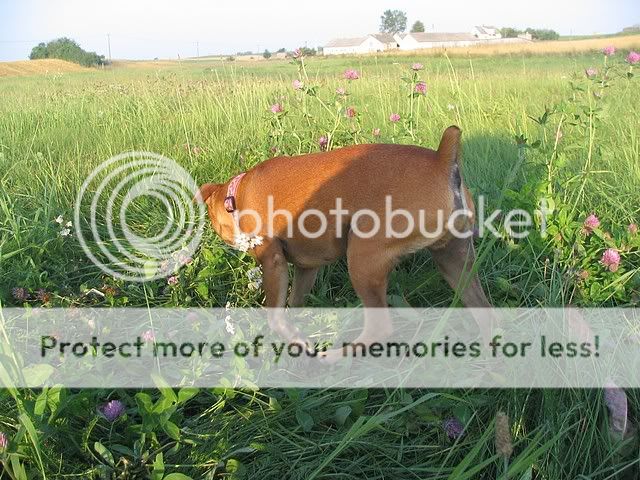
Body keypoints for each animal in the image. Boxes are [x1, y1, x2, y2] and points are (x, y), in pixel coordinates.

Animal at [197, 126, 491, 359]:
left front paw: (295, 340)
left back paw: (331, 357)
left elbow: (275, 316)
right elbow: (295, 301)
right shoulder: (307, 268)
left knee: (378, 328)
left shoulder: (273, 262)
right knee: (486, 312)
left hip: (363, 261)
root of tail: (442, 159)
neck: (237, 194)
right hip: (455, 262)